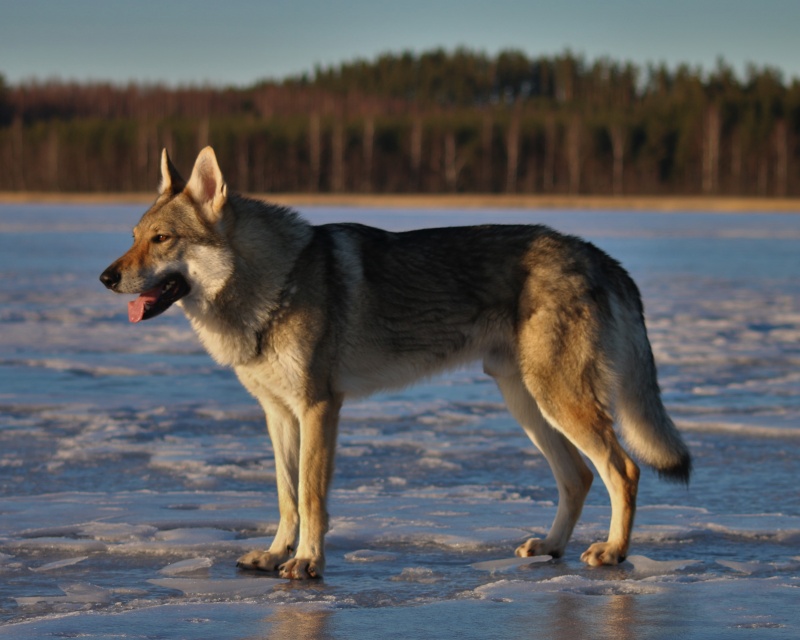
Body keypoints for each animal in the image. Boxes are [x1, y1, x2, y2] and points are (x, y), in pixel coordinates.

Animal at [98, 148, 688, 576]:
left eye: (162, 239)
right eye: (133, 238)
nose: (105, 276)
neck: (273, 283)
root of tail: (595, 253)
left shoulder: (319, 408)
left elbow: (311, 496)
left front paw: (307, 562)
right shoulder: (278, 415)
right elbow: (287, 496)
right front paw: (275, 554)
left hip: (558, 401)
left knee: (623, 469)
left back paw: (612, 552)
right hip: (528, 404)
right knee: (579, 478)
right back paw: (550, 546)